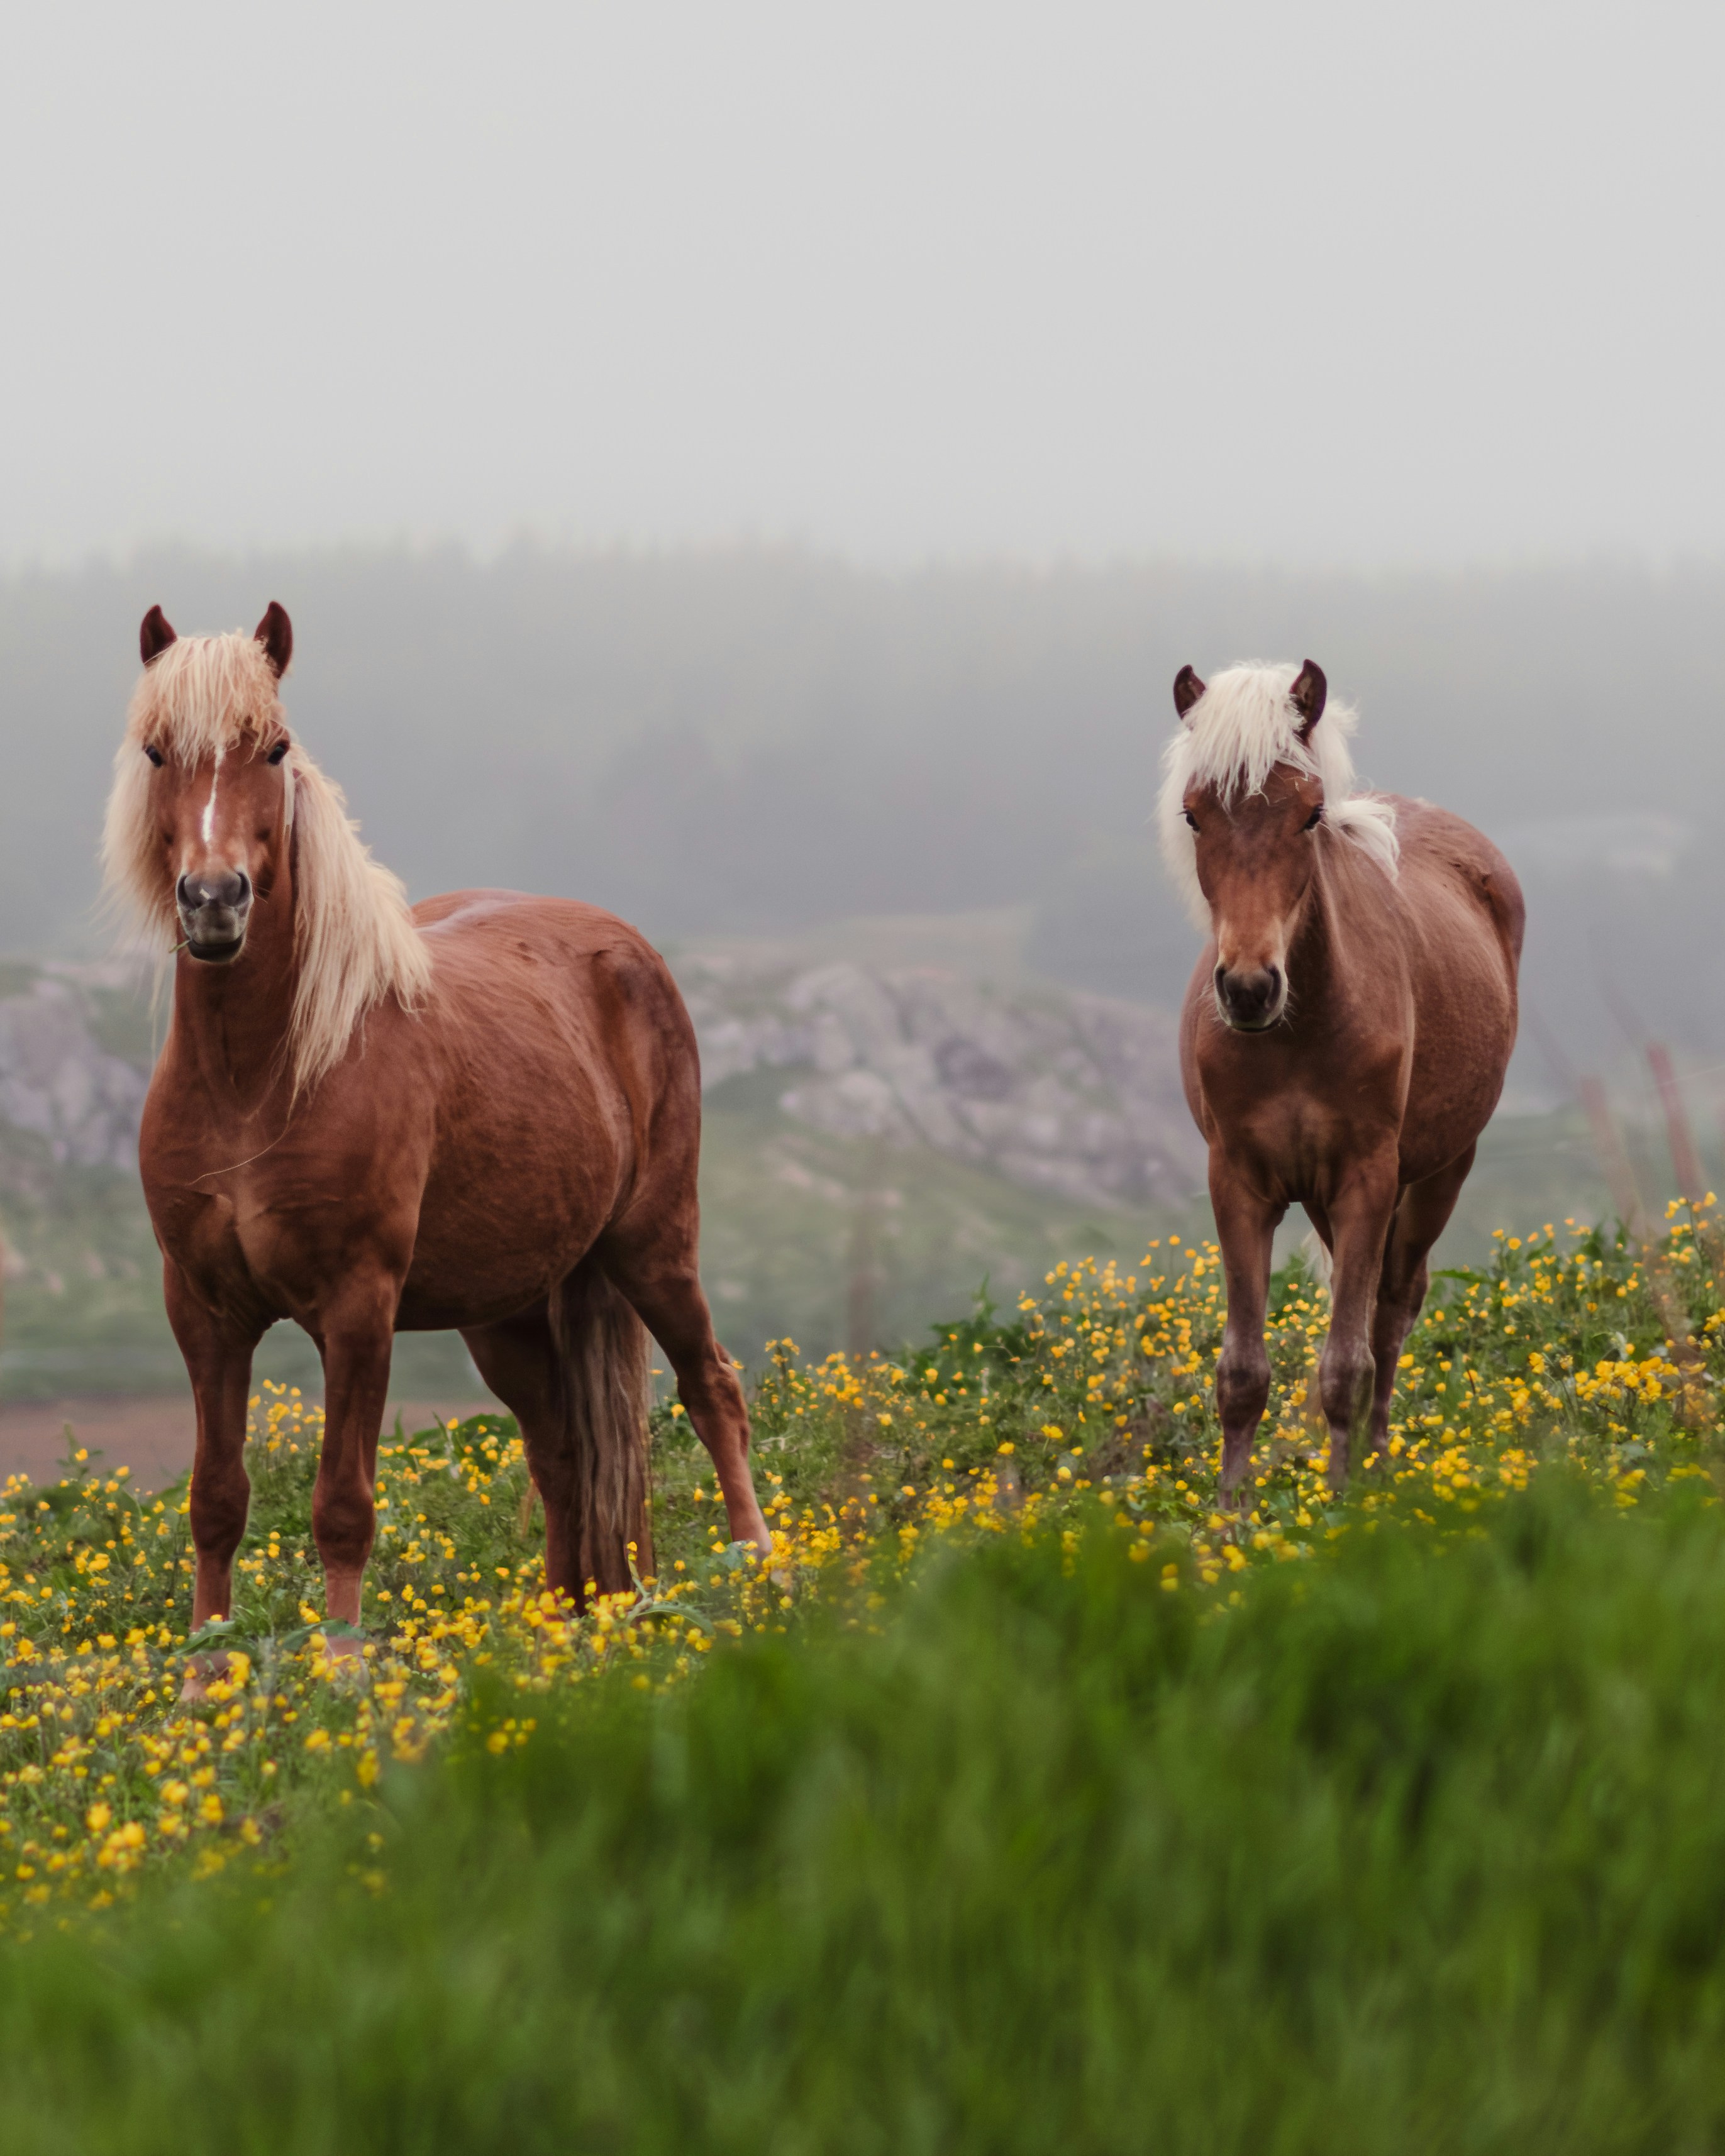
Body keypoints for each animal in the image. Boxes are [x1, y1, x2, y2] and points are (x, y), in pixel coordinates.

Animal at [103, 604, 772, 1677]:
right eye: (158, 750)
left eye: (274, 747)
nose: (214, 901)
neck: (261, 1078)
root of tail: (626, 948)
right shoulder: (202, 1309)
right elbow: (216, 1500)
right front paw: (206, 1679)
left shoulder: (358, 1306)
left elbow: (342, 1504)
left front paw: (340, 1673)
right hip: (507, 1310)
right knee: (563, 1450)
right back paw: (570, 1627)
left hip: (652, 1244)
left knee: (713, 1389)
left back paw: (759, 1574)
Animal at [1159, 660, 1523, 1501]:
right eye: (1194, 816)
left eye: (1309, 814)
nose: (1248, 990)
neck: (1298, 1031)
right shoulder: (1240, 1185)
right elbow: (1242, 1374)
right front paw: (1229, 1518)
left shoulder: (1366, 1180)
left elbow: (1345, 1366)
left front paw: (1339, 1509)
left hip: (1436, 1173)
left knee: (1390, 1314)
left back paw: (1379, 1467)